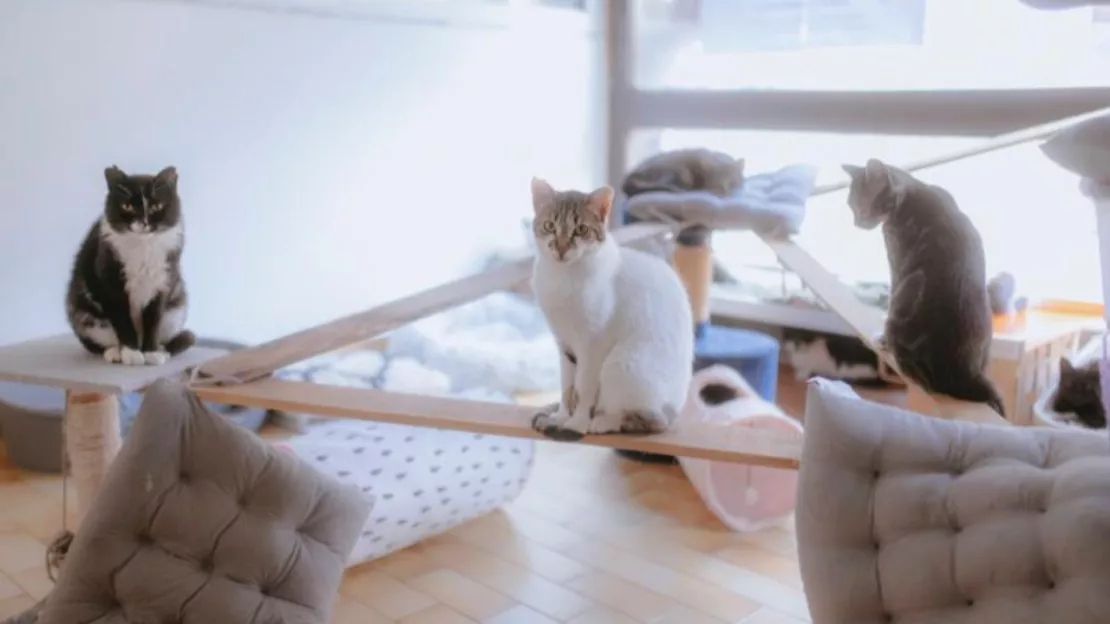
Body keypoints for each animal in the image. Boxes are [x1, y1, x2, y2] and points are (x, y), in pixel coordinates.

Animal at [66, 165, 195, 366]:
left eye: (157, 206)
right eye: (127, 206)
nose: (144, 223)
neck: (143, 245)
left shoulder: (164, 280)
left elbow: (153, 320)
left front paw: (151, 353)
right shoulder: (108, 281)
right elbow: (122, 320)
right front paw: (131, 353)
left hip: (177, 307)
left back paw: (161, 350)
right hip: (81, 311)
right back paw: (114, 352)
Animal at [523, 175, 688, 437]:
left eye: (581, 229)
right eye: (550, 226)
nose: (560, 247)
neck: (563, 277)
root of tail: (676, 412)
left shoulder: (593, 344)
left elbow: (583, 386)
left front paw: (577, 422)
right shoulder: (564, 343)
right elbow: (567, 385)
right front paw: (561, 416)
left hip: (620, 364)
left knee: (649, 420)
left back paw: (601, 422)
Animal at [839, 157, 1007, 415]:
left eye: (860, 205)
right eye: (851, 205)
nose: (858, 222)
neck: (914, 190)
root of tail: (968, 374)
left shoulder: (897, 264)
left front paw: (881, 337)